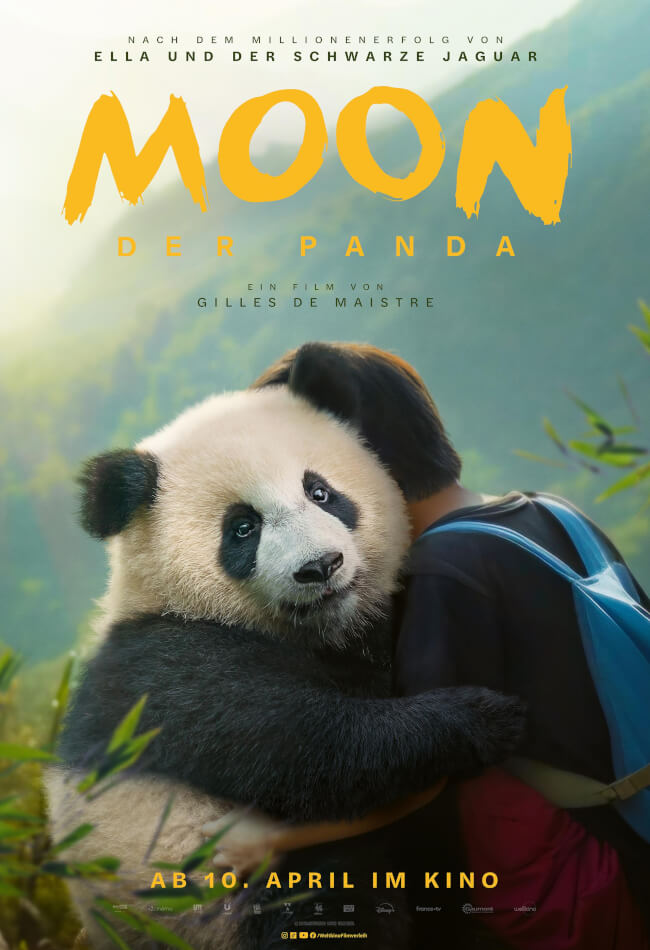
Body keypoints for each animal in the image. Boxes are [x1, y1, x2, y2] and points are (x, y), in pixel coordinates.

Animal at [47, 384, 524, 950]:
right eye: (242, 528)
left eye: (320, 492)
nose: (320, 566)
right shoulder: (164, 667)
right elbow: (305, 744)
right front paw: (482, 717)